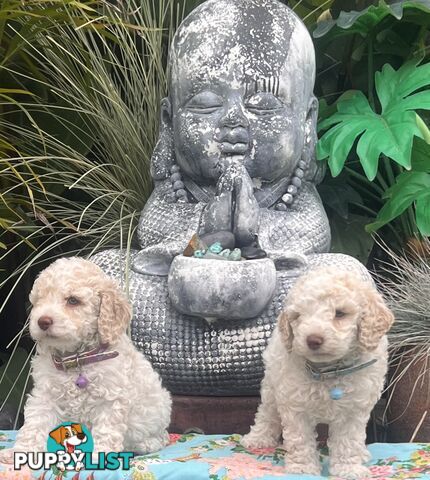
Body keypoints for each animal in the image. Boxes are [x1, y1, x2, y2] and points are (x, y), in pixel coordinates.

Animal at [0, 256, 171, 464]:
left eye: (73, 300)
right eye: (39, 301)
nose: (42, 321)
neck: (76, 359)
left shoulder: (110, 398)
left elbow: (106, 430)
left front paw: (100, 456)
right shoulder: (45, 395)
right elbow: (35, 424)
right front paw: (20, 452)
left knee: (158, 439)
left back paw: (144, 445)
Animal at [242, 268, 394, 478]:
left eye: (340, 313)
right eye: (298, 316)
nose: (313, 339)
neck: (329, 371)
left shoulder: (353, 410)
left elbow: (348, 441)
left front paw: (348, 469)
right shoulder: (295, 404)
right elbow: (300, 439)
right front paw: (302, 468)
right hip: (271, 386)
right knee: (267, 412)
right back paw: (257, 438)